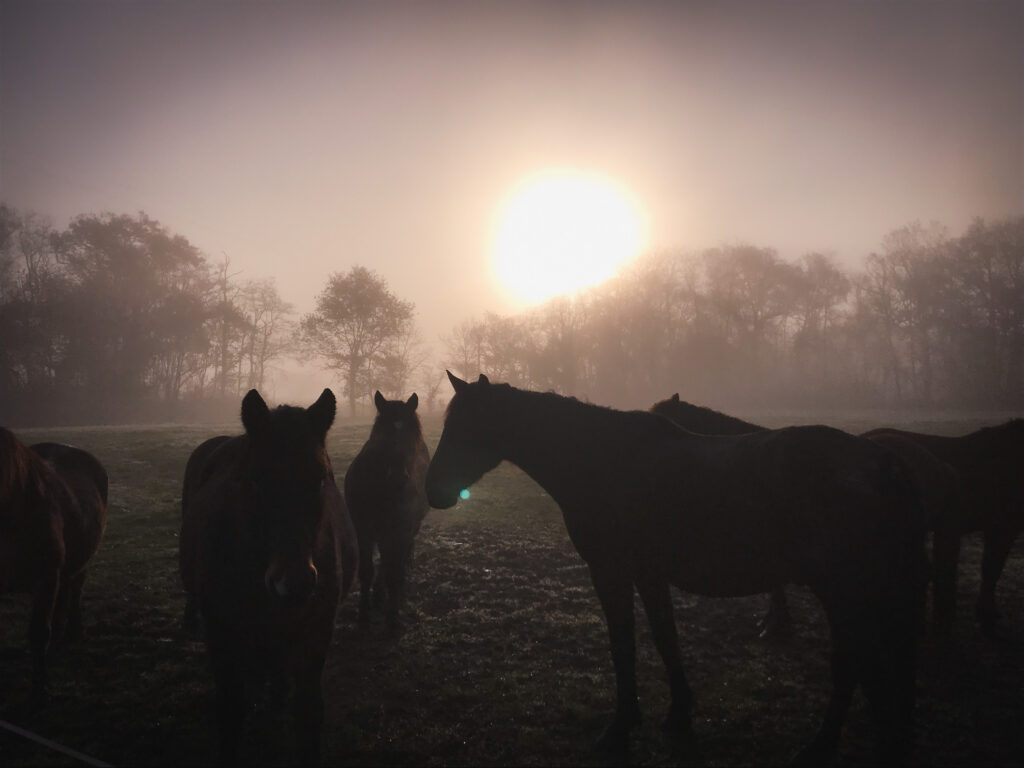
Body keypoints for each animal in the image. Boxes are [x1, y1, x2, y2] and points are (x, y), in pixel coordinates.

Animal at [0, 430, 107, 700]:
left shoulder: (46, 579)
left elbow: (39, 633)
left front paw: (40, 688)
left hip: (80, 562)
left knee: (75, 591)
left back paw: (74, 631)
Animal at [174, 393, 354, 765]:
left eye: (320, 479)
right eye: (254, 481)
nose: (295, 582)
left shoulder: (315, 634)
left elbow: (309, 712)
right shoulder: (222, 636)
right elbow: (230, 712)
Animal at [346, 393, 430, 634]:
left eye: (411, 436)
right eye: (382, 434)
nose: (398, 477)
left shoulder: (400, 532)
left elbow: (394, 573)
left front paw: (393, 620)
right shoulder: (363, 529)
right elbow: (366, 570)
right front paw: (363, 614)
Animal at [428, 372, 925, 765]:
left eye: (468, 427)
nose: (433, 488)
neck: (602, 459)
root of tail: (882, 462)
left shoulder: (611, 571)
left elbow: (623, 644)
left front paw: (620, 728)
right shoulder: (649, 574)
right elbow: (666, 638)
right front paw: (678, 713)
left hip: (843, 592)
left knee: (852, 662)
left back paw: (820, 746)